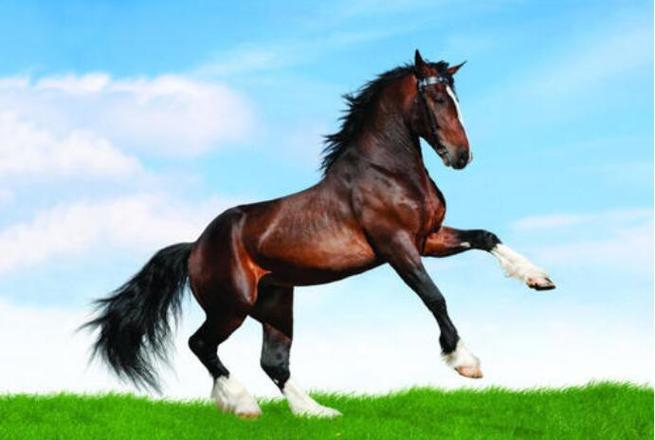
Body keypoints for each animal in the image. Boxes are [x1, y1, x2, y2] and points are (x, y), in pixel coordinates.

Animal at [84, 50, 555, 419]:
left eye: (456, 97)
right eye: (437, 97)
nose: (461, 156)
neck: (388, 172)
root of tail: (195, 247)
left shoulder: (430, 239)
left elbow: (486, 237)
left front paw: (539, 279)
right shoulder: (398, 246)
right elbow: (434, 296)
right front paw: (465, 362)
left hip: (275, 303)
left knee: (273, 362)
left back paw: (316, 412)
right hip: (231, 306)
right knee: (201, 344)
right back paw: (241, 404)